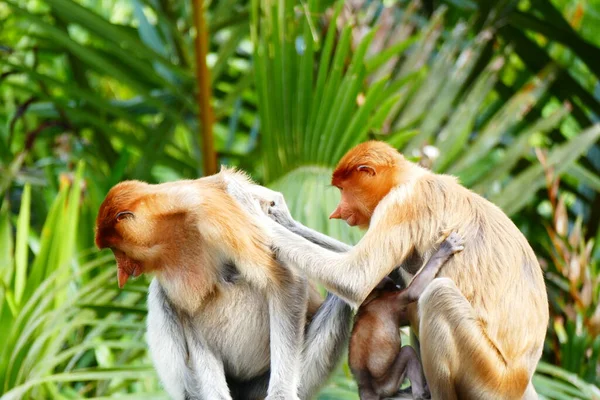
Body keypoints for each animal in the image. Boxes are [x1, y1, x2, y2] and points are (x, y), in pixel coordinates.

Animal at [94, 169, 354, 400]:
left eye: (116, 250)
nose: (120, 272)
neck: (177, 224)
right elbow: (192, 315)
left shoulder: (218, 215)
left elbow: (287, 281)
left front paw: (281, 395)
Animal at [346, 231, 464, 400]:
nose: (393, 282)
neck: (373, 299)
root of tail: (368, 389)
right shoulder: (392, 301)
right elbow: (412, 293)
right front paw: (445, 249)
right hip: (389, 382)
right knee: (408, 352)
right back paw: (421, 393)